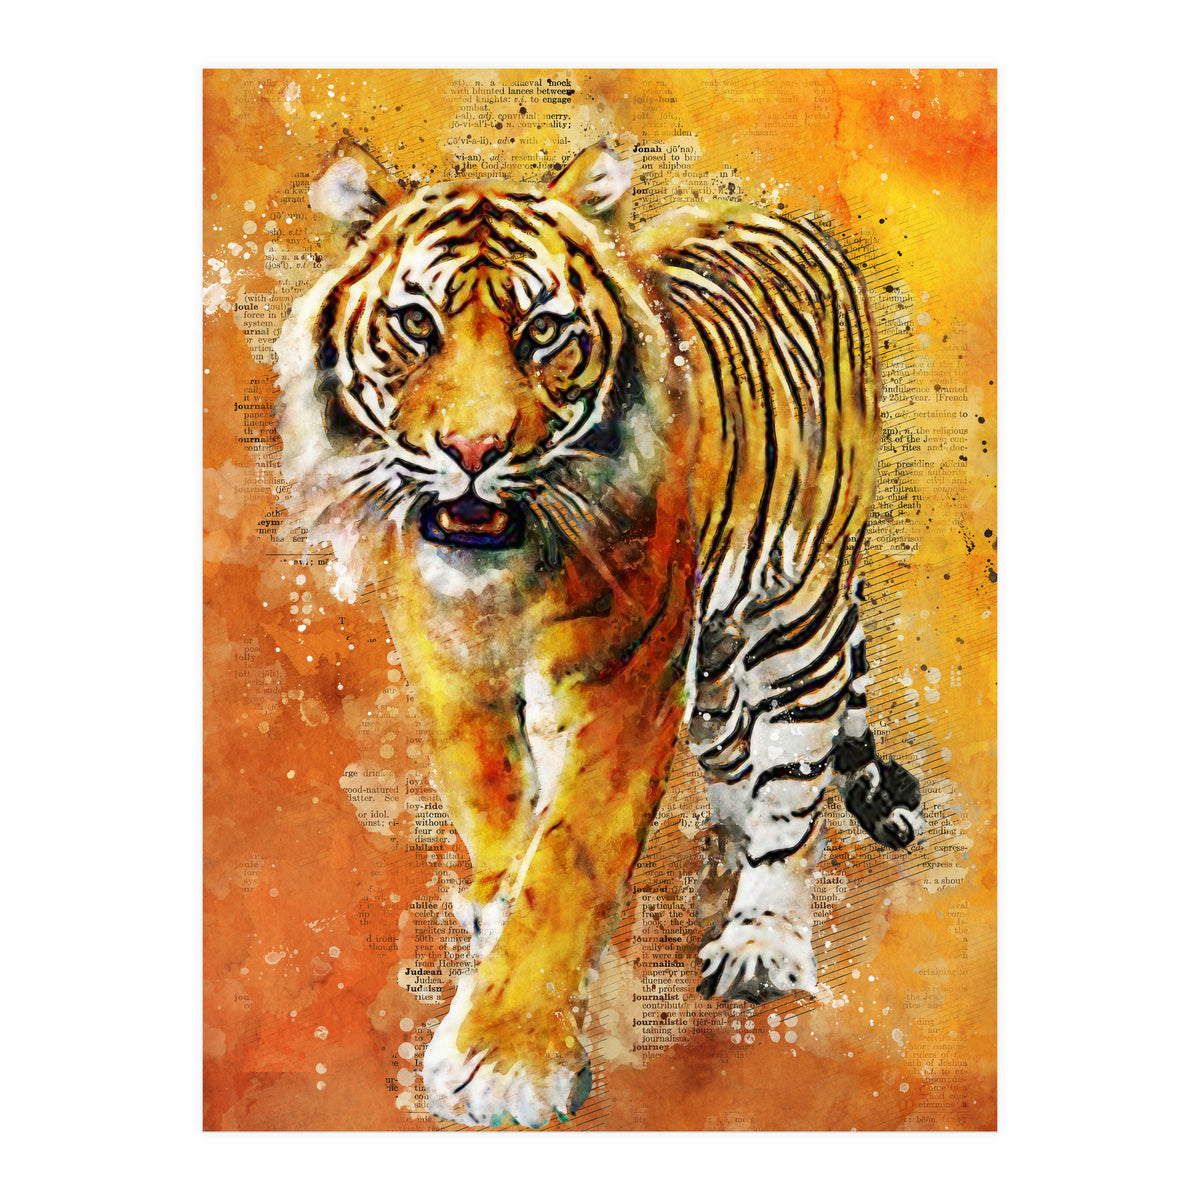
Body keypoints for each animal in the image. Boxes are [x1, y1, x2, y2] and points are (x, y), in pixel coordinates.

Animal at [273, 138, 924, 1129]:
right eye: (417, 324)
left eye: (543, 332)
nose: (473, 451)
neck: (502, 581)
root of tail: (782, 215)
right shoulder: (446, 659)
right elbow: (493, 800)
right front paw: (495, 902)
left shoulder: (624, 680)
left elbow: (571, 860)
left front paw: (506, 1059)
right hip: (717, 660)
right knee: (734, 755)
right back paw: (723, 855)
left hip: (797, 612)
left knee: (793, 782)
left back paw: (761, 936)